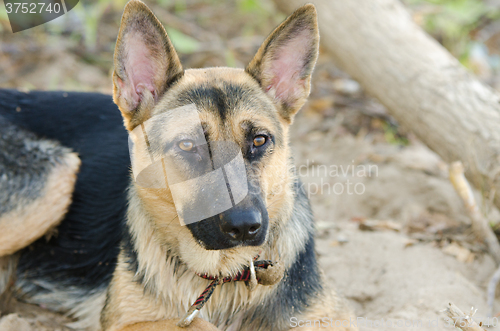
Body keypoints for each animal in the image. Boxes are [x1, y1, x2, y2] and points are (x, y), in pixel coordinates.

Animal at [0, 1, 360, 330]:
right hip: (55, 175)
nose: (245, 226)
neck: (222, 275)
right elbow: (196, 324)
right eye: (188, 145)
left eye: (259, 140)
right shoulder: (129, 322)